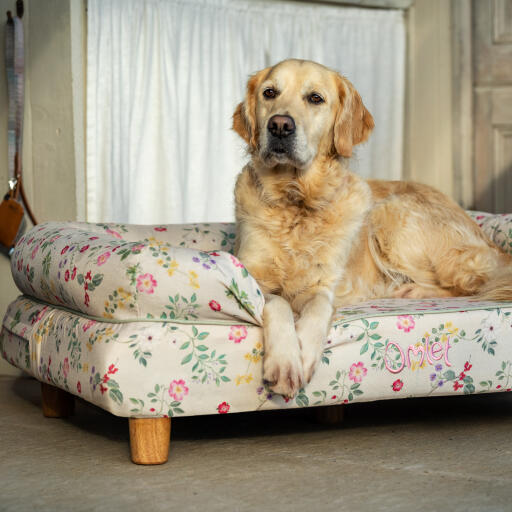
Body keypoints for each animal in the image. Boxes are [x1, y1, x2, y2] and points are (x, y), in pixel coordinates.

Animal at [232, 59, 512, 396]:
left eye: (315, 98)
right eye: (269, 93)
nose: (280, 126)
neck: (296, 201)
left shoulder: (323, 285)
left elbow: (317, 311)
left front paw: (303, 354)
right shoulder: (254, 277)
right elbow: (277, 304)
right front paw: (286, 360)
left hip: (390, 214)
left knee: (471, 285)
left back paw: (410, 288)